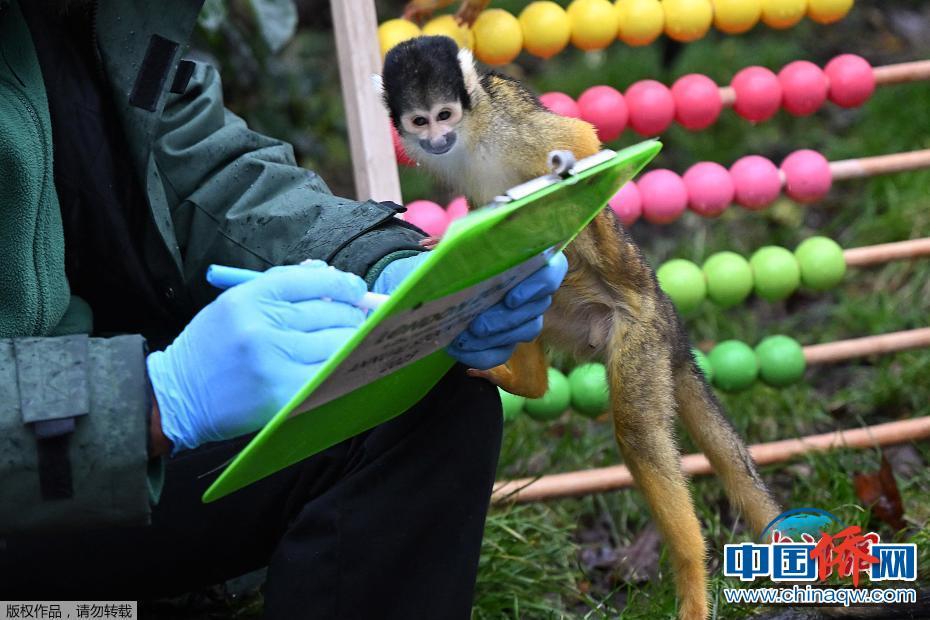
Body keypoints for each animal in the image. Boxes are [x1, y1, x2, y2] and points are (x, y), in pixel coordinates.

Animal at [374, 36, 780, 616]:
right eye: (420, 121)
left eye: (446, 115)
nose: (438, 138)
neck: (470, 137)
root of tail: (671, 322)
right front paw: (445, 242)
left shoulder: (508, 122)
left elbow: (582, 146)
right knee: (523, 293)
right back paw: (526, 379)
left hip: (639, 337)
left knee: (638, 433)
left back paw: (691, 574)